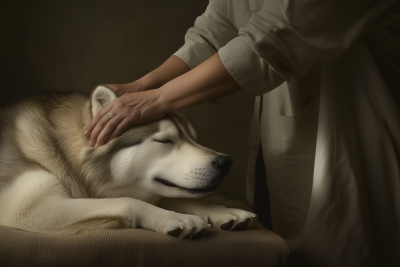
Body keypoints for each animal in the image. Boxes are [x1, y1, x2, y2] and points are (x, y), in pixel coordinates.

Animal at [0, 86, 256, 241]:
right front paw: (174, 218)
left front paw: (223, 211)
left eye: (193, 138)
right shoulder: (24, 206)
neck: (58, 151)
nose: (226, 162)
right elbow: (127, 201)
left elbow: (175, 198)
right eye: (165, 140)